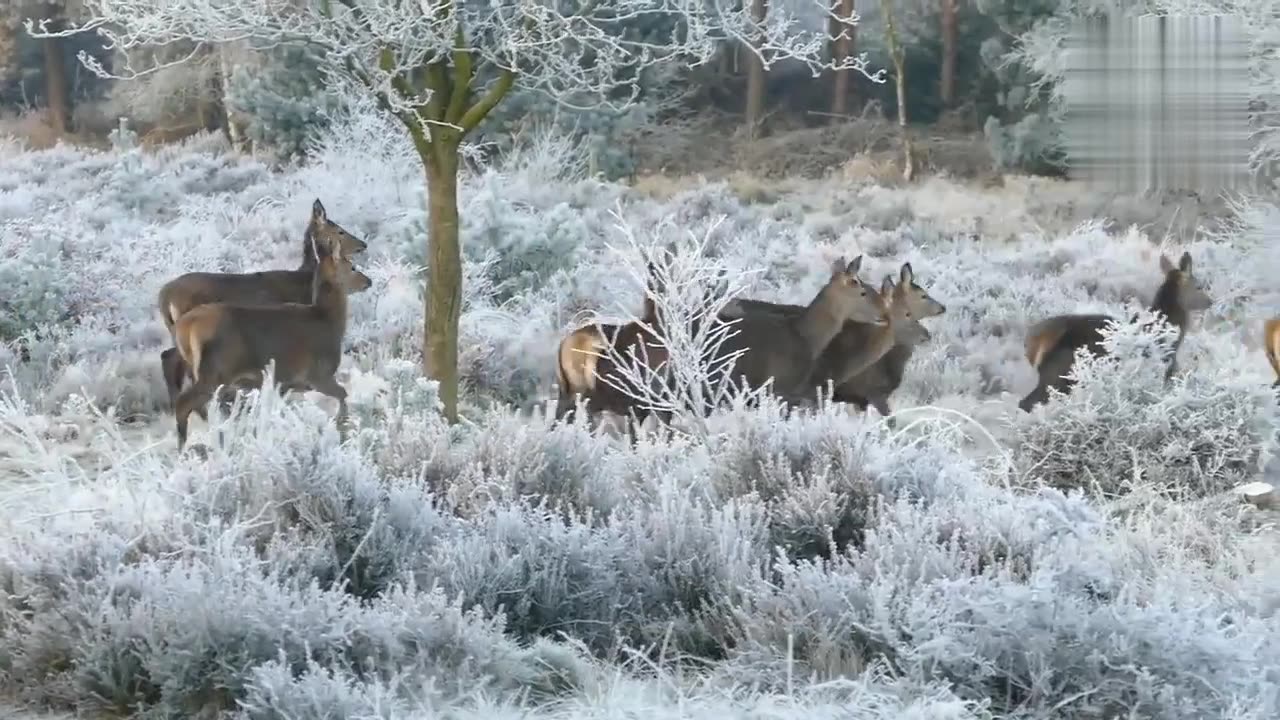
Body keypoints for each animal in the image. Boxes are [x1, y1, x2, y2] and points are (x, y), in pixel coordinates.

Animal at [171, 229, 371, 448]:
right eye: (352, 267)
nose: (368, 281)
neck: (328, 320)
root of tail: (184, 327)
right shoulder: (317, 373)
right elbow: (343, 394)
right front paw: (343, 429)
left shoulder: (285, 384)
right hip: (215, 371)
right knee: (183, 404)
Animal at [1018, 251, 1208, 409]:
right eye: (1199, 286)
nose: (1210, 301)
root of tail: (1032, 341)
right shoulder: (1165, 367)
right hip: (1060, 372)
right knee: (1027, 403)